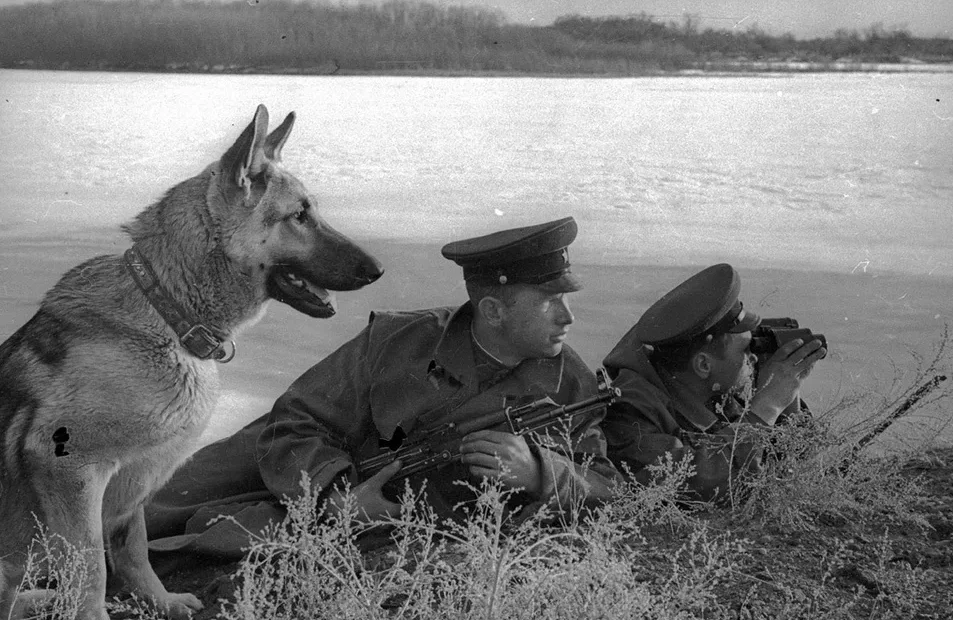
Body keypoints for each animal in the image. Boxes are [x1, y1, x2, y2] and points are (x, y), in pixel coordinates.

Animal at [4, 104, 384, 616]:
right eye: (299, 216)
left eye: (312, 211)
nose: (378, 270)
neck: (167, 314)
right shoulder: (67, 470)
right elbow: (92, 570)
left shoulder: (131, 485)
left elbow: (134, 548)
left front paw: (160, 601)